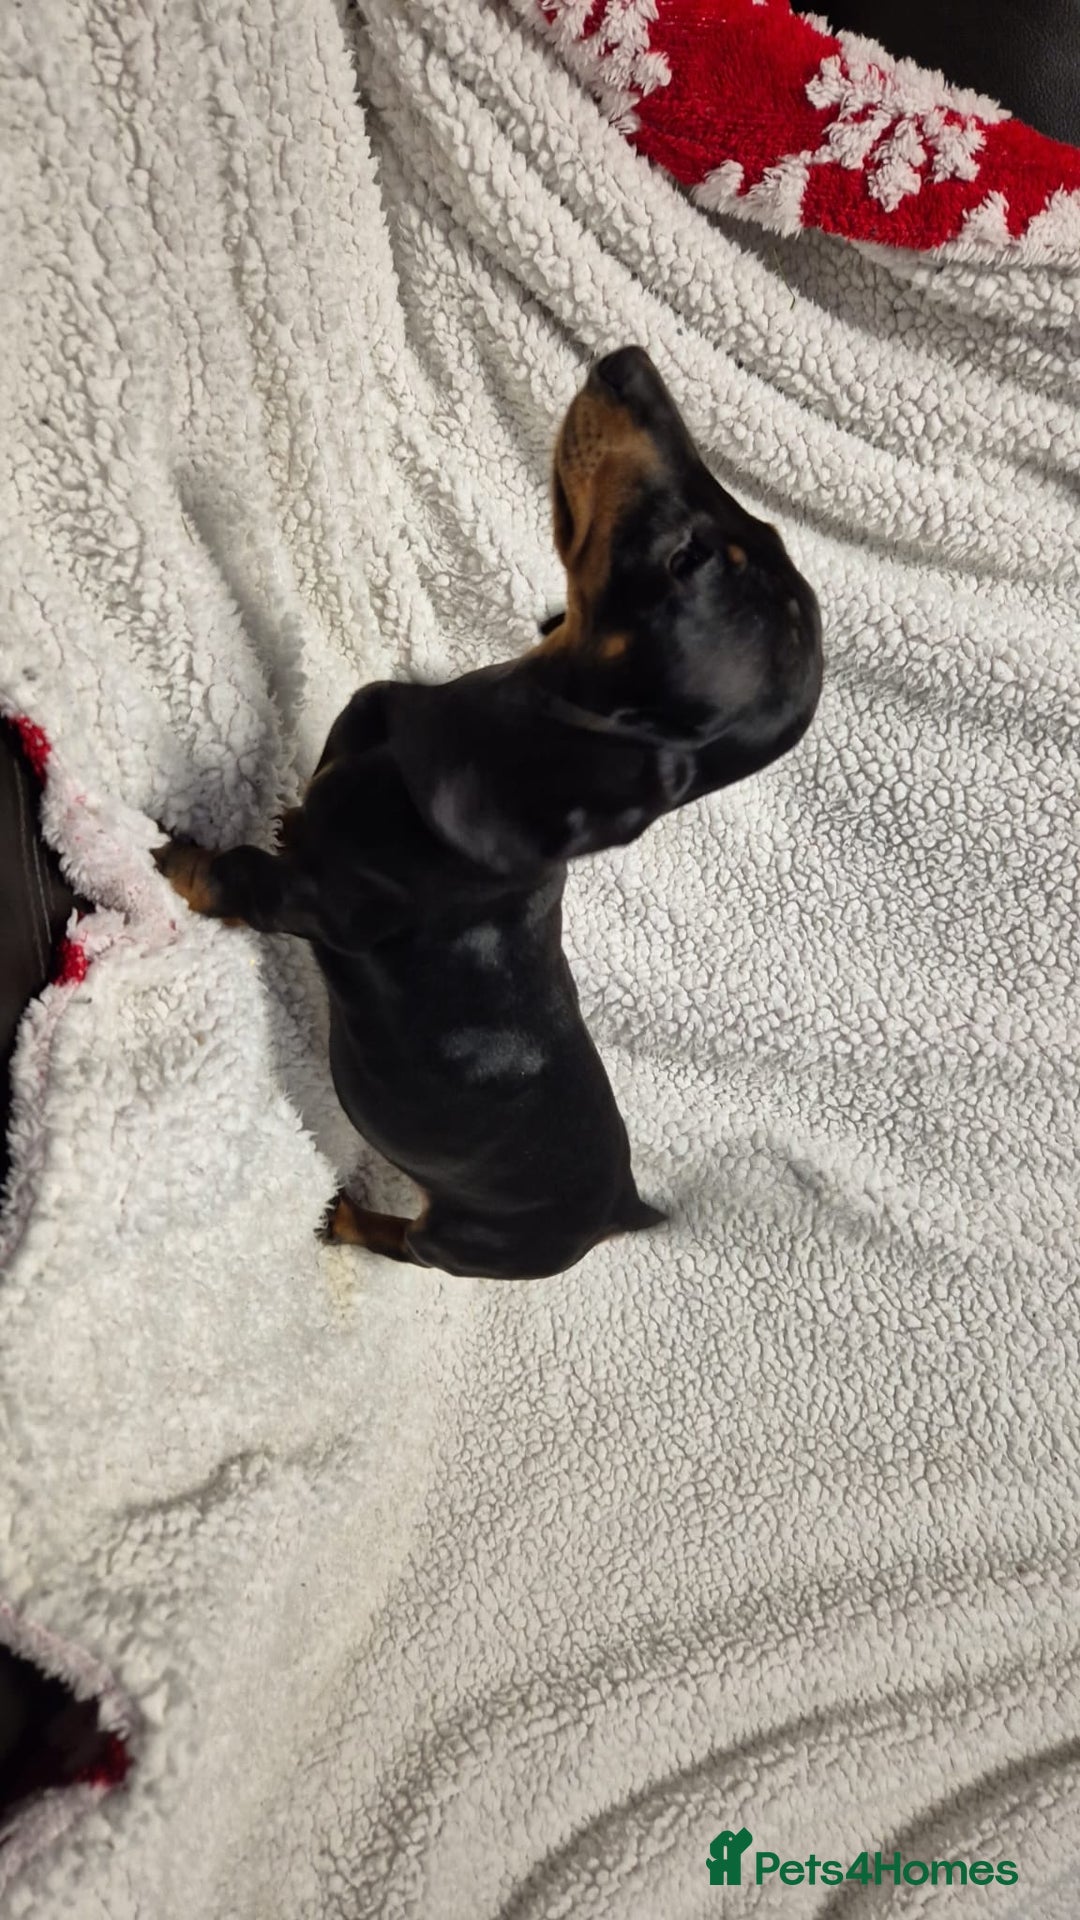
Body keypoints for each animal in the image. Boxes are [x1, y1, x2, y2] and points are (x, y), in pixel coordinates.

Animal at [154, 346, 823, 1279]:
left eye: (688, 558)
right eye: (750, 531)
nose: (629, 364)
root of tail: (621, 1210)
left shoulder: (319, 901)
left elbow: (236, 876)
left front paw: (171, 857)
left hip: (461, 1239)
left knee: (405, 1243)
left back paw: (346, 1217)